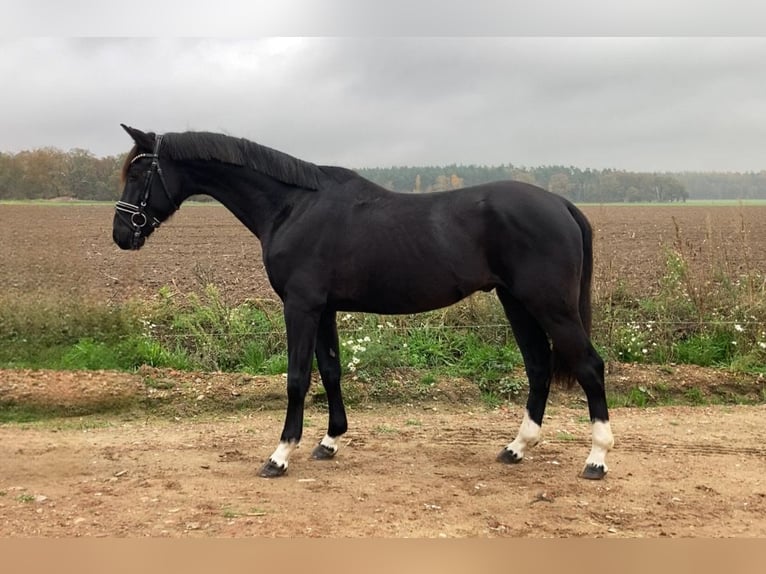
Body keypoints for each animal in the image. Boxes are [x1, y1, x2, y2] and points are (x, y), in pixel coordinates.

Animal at [114, 126, 616, 482]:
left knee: (590, 366)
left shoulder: (301, 306)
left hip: (550, 305)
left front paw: (280, 455)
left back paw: (596, 459)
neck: (293, 206)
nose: (121, 234)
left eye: (139, 173)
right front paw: (329, 441)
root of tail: (562, 205)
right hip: (517, 303)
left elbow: (297, 378)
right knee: (538, 367)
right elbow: (331, 370)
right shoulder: (324, 309)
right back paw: (517, 448)